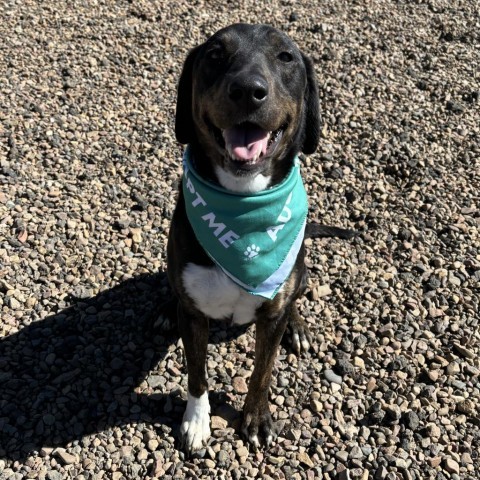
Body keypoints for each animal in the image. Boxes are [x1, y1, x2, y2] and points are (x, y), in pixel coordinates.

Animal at [167, 23, 354, 454]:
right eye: (215, 55)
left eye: (285, 57)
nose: (248, 90)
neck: (243, 201)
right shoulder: (193, 314)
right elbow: (197, 373)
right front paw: (197, 421)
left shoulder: (272, 312)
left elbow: (262, 370)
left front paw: (255, 417)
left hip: (297, 272)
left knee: (296, 293)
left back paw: (297, 326)